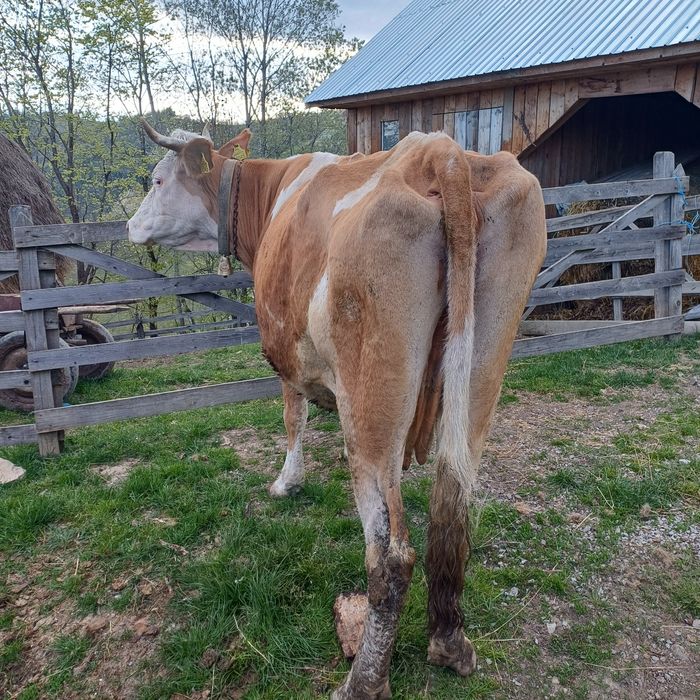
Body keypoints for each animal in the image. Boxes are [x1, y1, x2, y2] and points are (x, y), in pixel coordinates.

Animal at [127, 122, 546, 699]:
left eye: (157, 179)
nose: (128, 225)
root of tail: (440, 151)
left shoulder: (285, 355)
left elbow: (292, 418)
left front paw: (287, 482)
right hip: (483, 370)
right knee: (452, 504)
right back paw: (448, 642)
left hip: (370, 410)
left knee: (390, 555)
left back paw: (363, 681)